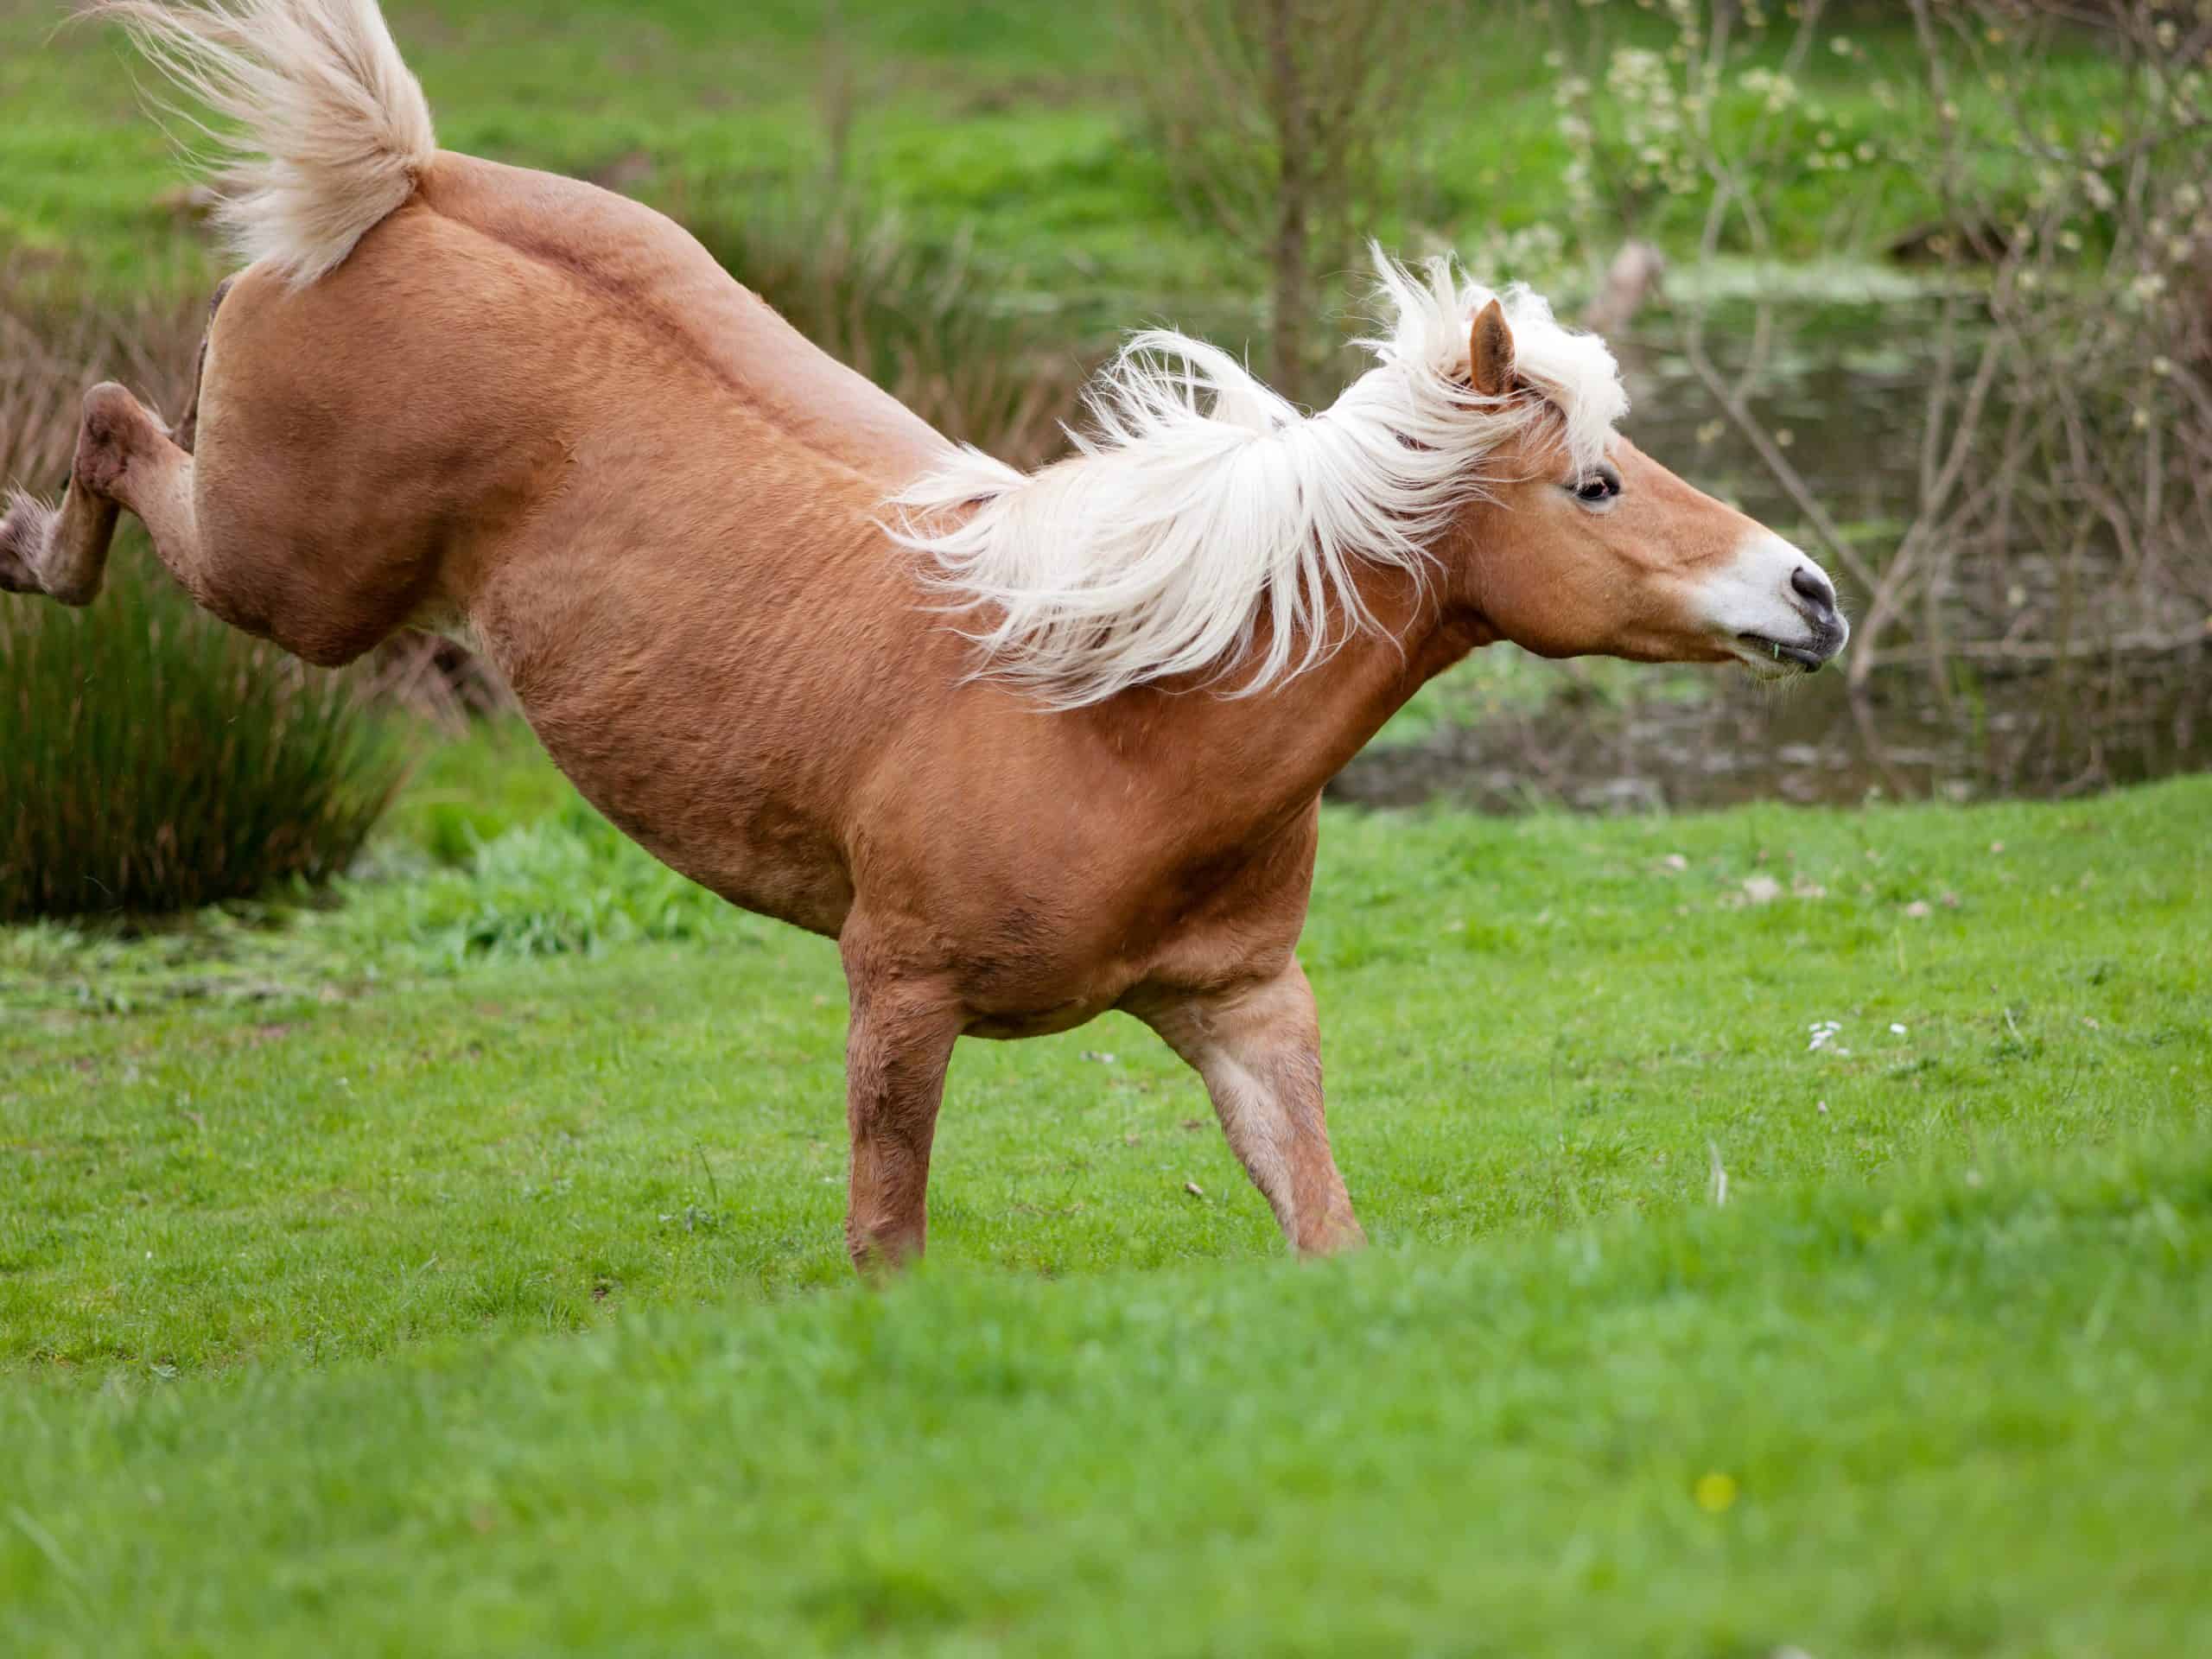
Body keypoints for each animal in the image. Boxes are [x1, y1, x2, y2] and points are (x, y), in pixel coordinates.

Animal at [4, 3, 1849, 1274]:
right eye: (1598, 481)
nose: (1815, 597)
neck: (1119, 715)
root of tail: (411, 185)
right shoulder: (895, 996)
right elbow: (884, 1247)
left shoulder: (1246, 1012)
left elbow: (1325, 1229)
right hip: (293, 579)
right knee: (105, 423)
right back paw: (26, 550)